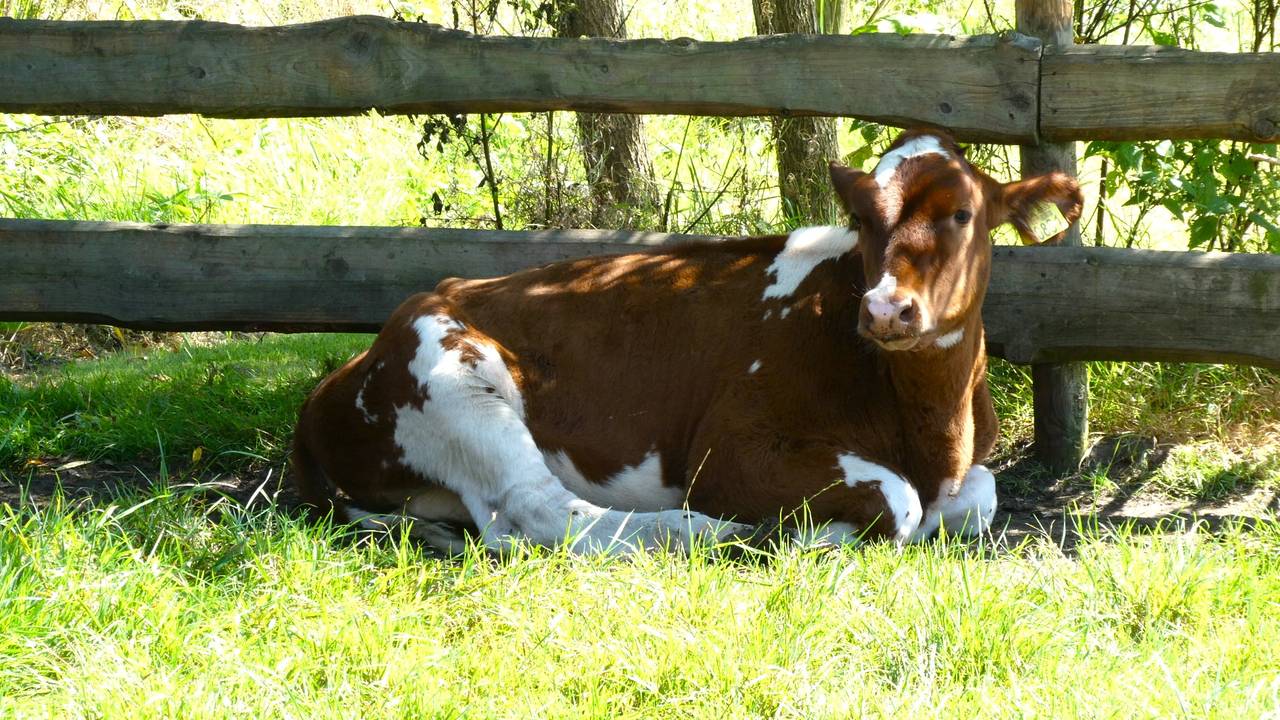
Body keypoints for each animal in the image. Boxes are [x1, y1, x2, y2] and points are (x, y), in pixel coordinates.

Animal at [290, 128, 1080, 550]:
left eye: (963, 215)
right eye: (863, 218)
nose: (887, 310)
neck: (933, 424)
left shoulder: (968, 464)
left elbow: (981, 494)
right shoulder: (732, 450)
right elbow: (902, 503)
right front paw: (809, 531)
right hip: (457, 373)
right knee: (545, 513)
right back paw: (704, 530)